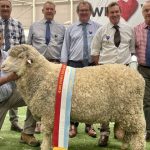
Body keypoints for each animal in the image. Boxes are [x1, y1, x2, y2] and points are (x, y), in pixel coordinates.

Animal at [1, 44, 145, 150]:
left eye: (20, 57)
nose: (2, 66)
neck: (42, 75)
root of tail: (138, 76)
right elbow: (51, 135)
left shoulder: (48, 114)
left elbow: (47, 134)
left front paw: (45, 147)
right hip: (127, 112)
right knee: (129, 132)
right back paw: (125, 146)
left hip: (132, 110)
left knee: (138, 131)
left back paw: (137, 146)